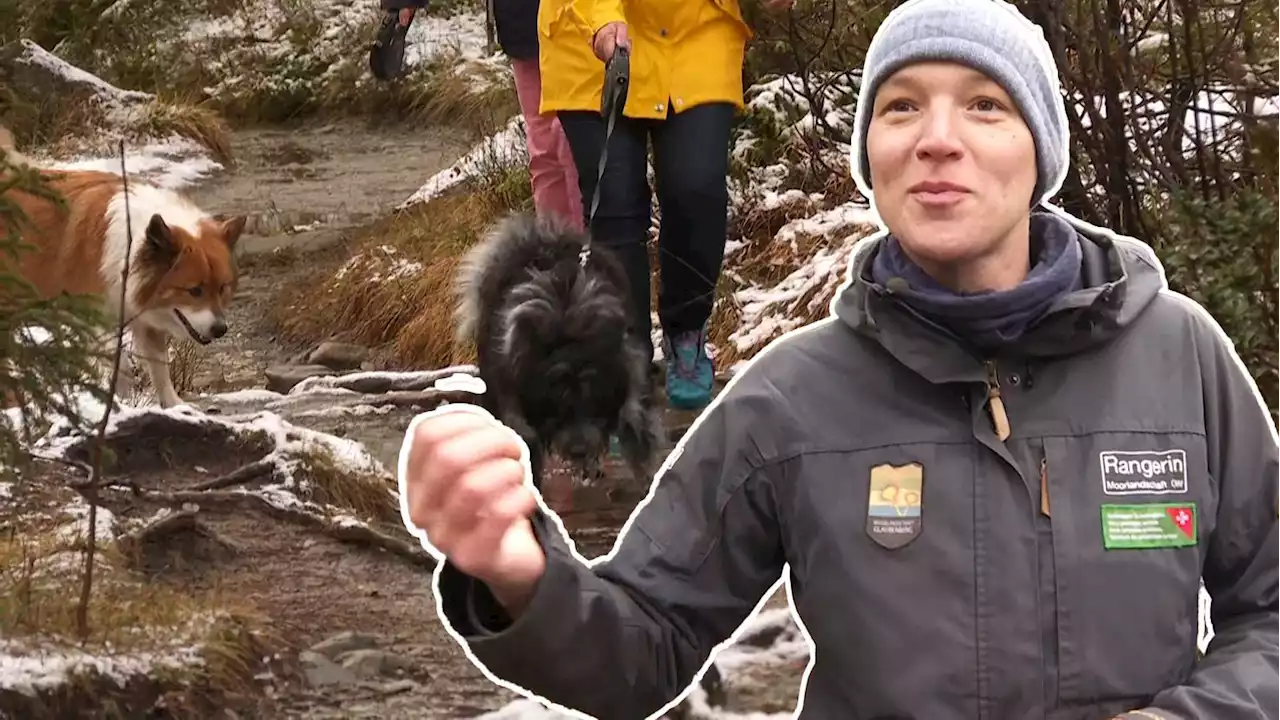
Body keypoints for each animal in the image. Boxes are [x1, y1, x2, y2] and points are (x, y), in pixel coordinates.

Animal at [1, 126, 244, 407]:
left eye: (223, 288)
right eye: (195, 290)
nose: (220, 329)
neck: (130, 249)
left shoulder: (144, 318)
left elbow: (159, 367)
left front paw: (173, 406)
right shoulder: (92, 321)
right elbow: (123, 365)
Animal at [455, 208, 665, 486]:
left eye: (593, 398)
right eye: (554, 401)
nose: (578, 450)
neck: (567, 333)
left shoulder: (631, 382)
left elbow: (638, 440)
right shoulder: (515, 407)